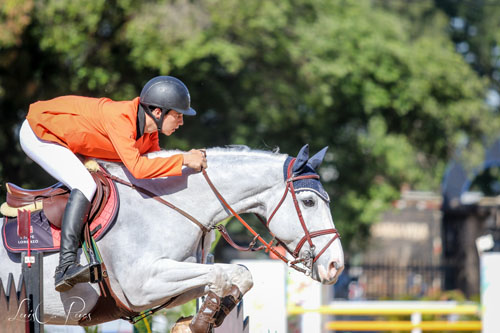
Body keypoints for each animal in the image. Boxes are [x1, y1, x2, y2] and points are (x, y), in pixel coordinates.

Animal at [0, 143, 344, 330]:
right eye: (309, 202)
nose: (336, 266)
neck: (169, 203)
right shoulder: (141, 285)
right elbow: (227, 272)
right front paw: (201, 321)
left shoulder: (176, 279)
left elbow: (234, 275)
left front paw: (207, 316)